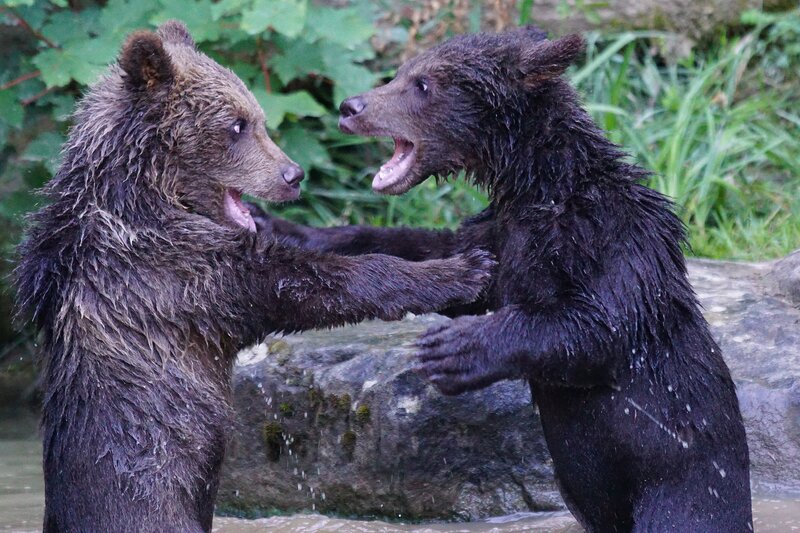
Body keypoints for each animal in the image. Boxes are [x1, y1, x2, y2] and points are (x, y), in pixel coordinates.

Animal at [13, 21, 494, 533]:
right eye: (236, 125)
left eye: (258, 117)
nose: (293, 174)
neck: (146, 196)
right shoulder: (170, 274)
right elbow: (304, 284)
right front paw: (465, 269)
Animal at [252, 28, 753, 532]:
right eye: (401, 73)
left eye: (423, 84)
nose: (350, 107)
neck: (540, 187)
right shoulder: (501, 232)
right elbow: (437, 252)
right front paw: (283, 226)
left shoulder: (608, 233)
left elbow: (599, 324)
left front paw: (452, 350)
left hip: (682, 484)